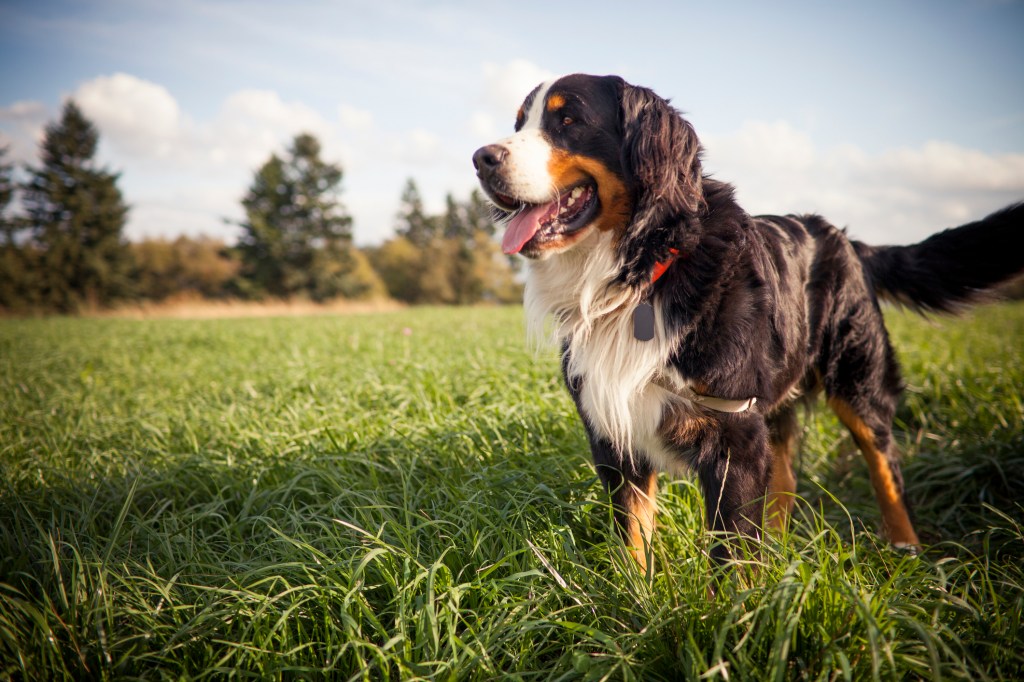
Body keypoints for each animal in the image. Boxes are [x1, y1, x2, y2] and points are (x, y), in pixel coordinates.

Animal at [475, 71, 1024, 565]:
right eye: (520, 122)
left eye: (567, 120)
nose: (481, 158)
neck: (644, 271)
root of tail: (844, 236)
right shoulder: (615, 434)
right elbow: (632, 542)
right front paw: (636, 599)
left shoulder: (733, 434)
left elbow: (732, 554)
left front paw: (733, 610)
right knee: (786, 478)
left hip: (857, 383)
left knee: (885, 466)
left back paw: (907, 552)